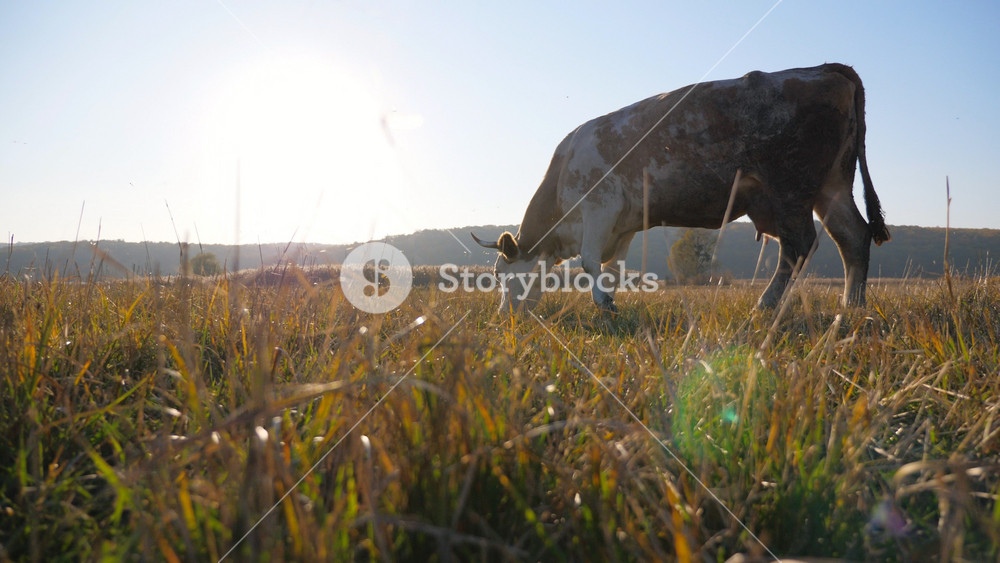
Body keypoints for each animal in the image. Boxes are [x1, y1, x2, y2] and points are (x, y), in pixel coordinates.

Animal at [473, 63, 890, 314]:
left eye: (500, 273)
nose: (505, 315)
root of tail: (822, 69)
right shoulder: (623, 223)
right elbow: (611, 268)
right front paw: (609, 298)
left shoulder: (600, 208)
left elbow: (590, 262)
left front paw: (603, 303)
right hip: (831, 187)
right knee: (853, 237)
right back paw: (850, 308)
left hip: (791, 189)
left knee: (798, 246)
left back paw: (766, 304)